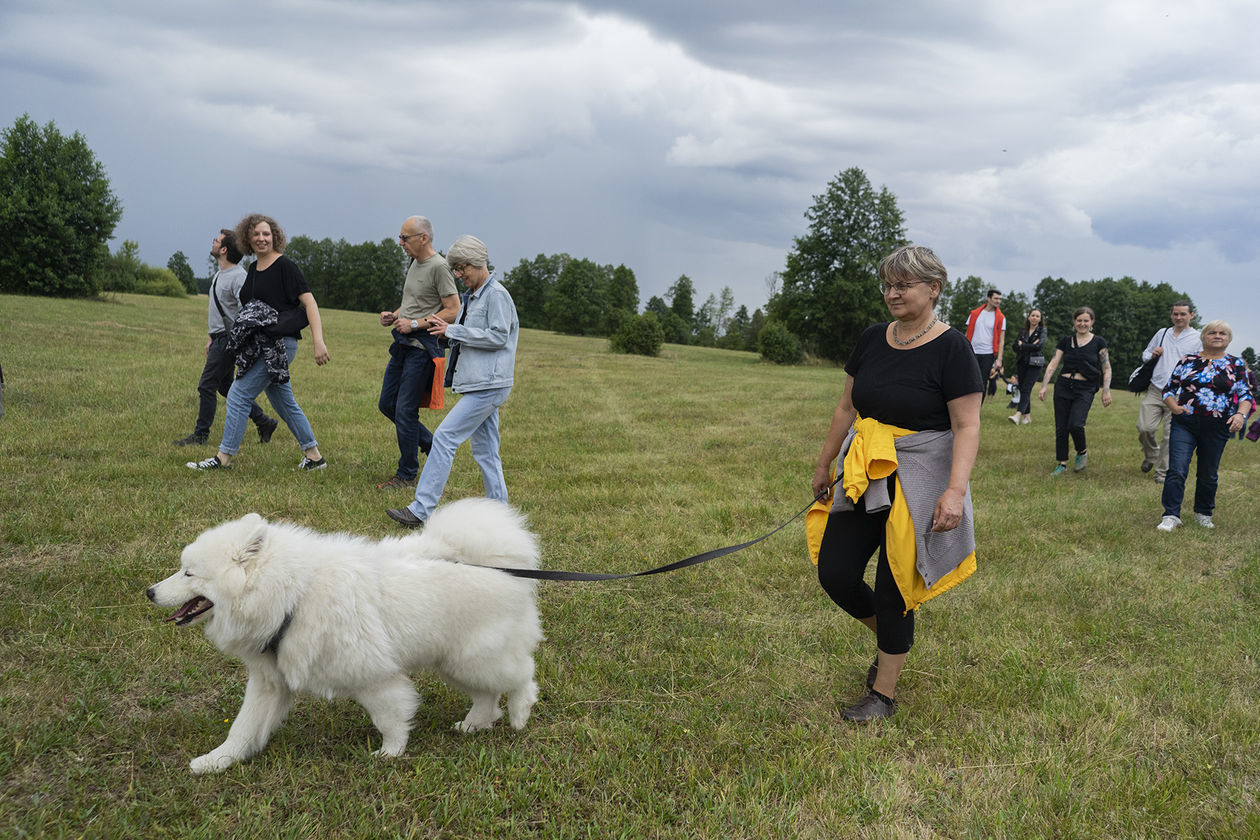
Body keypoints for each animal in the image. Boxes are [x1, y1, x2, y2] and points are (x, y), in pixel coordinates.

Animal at [147, 498, 541, 775]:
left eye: (188, 573)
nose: (150, 592)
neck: (293, 595)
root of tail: (501, 561)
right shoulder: (269, 681)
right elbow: (243, 728)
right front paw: (216, 761)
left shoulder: (373, 677)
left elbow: (390, 718)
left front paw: (390, 753)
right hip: (455, 661)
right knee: (487, 694)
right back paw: (475, 724)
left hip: (473, 657)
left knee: (522, 675)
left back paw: (519, 713)